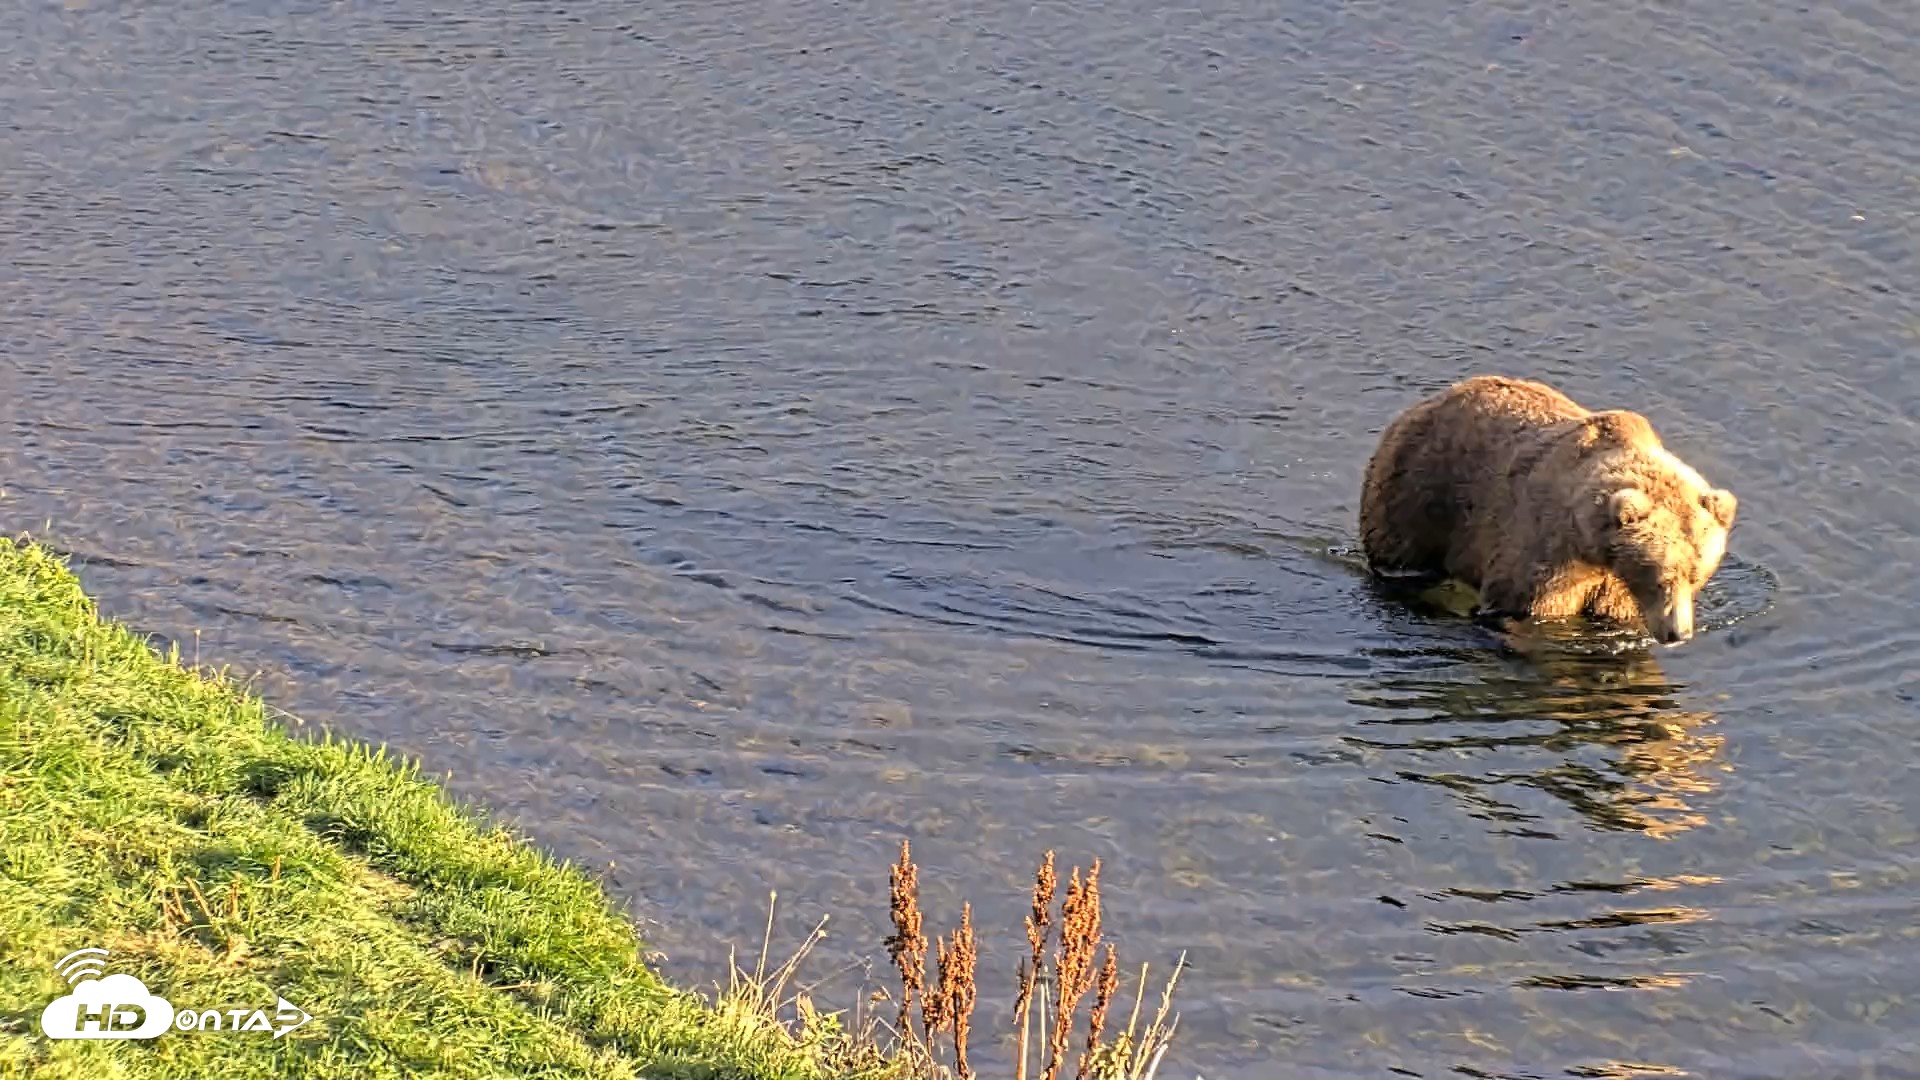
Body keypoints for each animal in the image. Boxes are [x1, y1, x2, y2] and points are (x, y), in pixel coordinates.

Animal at [1359, 375, 1737, 645]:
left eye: (1698, 576)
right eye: (1663, 577)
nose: (1679, 634)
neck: (1591, 547)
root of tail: (1430, 400)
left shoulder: (1612, 585)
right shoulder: (1543, 556)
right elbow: (1525, 605)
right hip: (1416, 497)